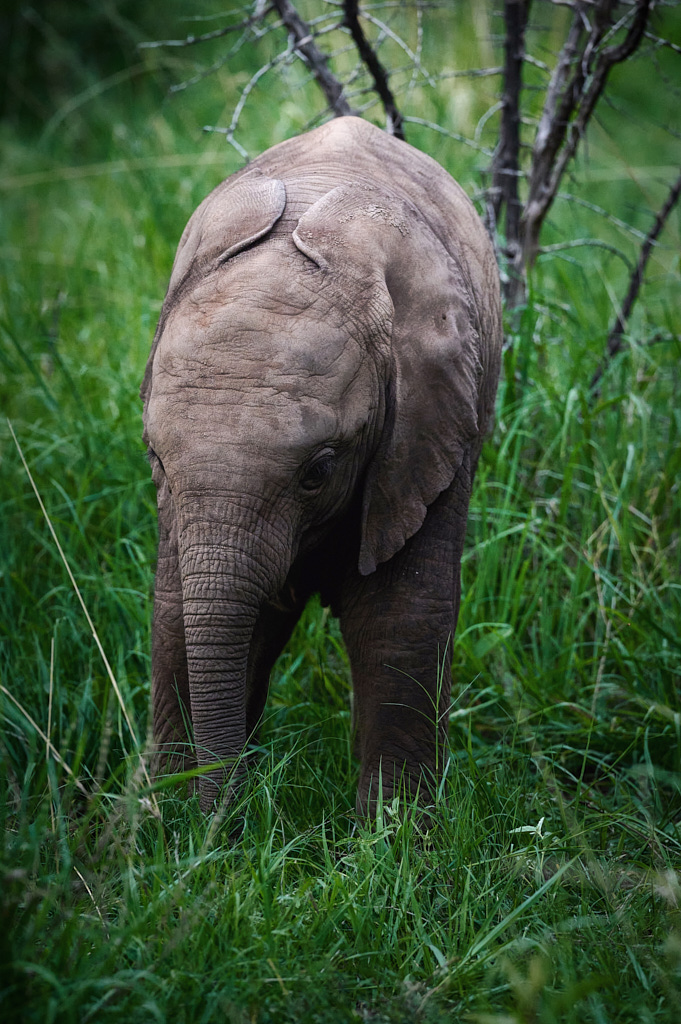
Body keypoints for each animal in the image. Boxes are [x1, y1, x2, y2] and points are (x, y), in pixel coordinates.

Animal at [140, 116, 501, 811]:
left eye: (319, 471)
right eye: (157, 461)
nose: (224, 817)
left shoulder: (430, 424)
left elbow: (401, 619)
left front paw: (393, 834)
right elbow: (176, 617)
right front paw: (162, 820)